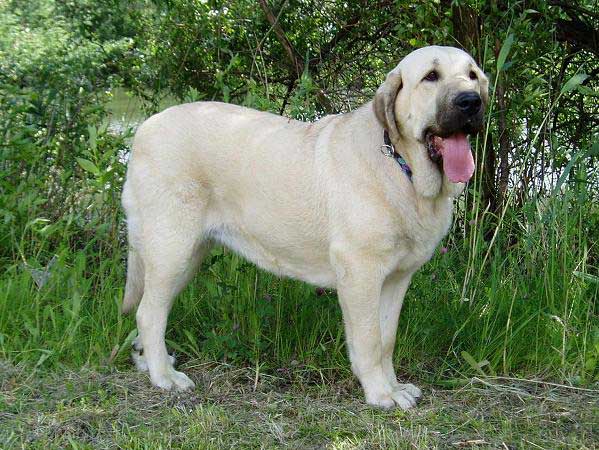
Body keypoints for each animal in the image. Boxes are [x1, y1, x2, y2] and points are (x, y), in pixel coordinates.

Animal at [120, 46, 488, 412]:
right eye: (430, 77)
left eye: (472, 75)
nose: (471, 101)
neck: (403, 168)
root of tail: (143, 129)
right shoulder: (361, 273)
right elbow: (369, 339)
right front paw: (380, 393)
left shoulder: (396, 279)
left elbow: (386, 339)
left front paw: (394, 386)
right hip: (172, 250)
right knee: (149, 313)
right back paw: (164, 376)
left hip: (185, 258)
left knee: (152, 310)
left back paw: (149, 361)